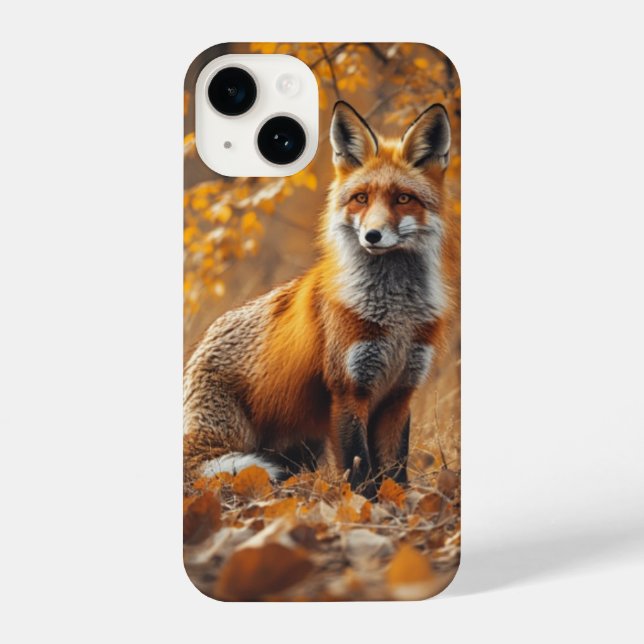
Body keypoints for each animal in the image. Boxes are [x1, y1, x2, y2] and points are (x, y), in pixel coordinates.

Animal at [184, 100, 453, 498]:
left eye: (403, 198)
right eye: (361, 199)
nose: (372, 235)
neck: (396, 318)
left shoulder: (400, 393)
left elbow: (394, 471)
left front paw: (399, 505)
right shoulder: (348, 391)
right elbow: (359, 470)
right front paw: (364, 508)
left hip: (304, 445)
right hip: (233, 444)